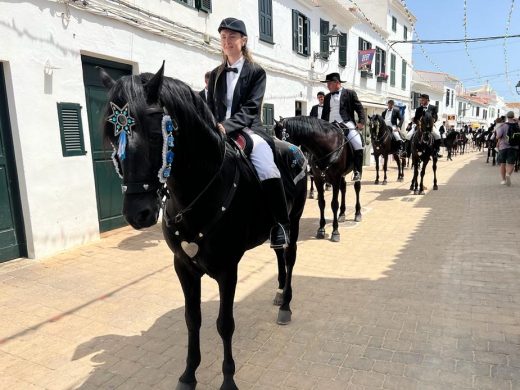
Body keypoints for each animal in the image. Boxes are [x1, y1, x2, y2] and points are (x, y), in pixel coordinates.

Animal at [99, 65, 306, 388]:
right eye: (112, 134)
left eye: (156, 133)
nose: (137, 213)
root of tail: (295, 150)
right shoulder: (183, 266)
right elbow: (192, 319)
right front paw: (188, 374)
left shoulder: (227, 269)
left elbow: (224, 324)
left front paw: (228, 379)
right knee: (278, 254)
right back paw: (279, 292)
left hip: (293, 223)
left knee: (290, 257)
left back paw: (286, 305)